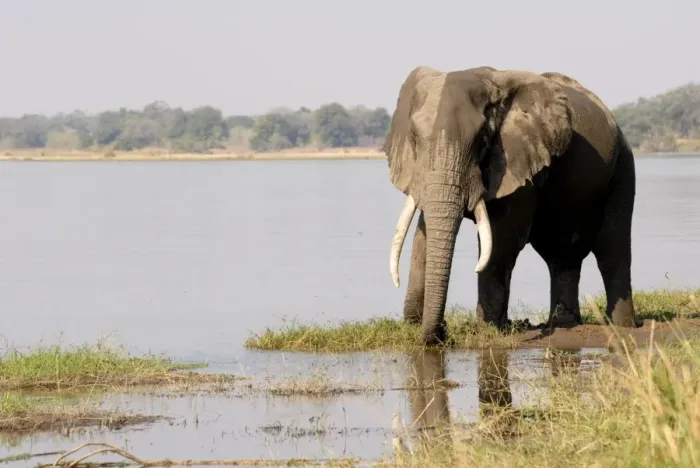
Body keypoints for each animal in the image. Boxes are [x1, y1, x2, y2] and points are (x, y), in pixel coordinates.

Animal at [384, 65, 638, 346]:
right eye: (414, 138)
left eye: (482, 139)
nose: (443, 332)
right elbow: (424, 231)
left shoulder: (519, 159)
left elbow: (503, 235)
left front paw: (489, 328)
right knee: (560, 254)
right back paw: (564, 324)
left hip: (622, 168)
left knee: (611, 248)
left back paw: (622, 326)